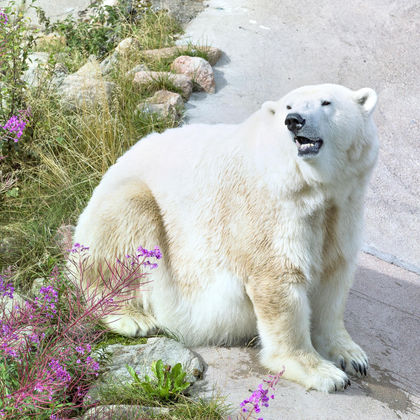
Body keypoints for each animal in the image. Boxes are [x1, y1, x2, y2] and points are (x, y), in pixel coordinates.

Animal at [71, 83, 378, 392]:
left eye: (326, 102)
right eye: (289, 107)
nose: (294, 121)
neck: (309, 186)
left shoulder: (343, 208)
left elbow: (333, 279)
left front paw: (352, 356)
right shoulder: (268, 210)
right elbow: (279, 281)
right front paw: (324, 374)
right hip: (120, 212)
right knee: (126, 222)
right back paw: (133, 318)